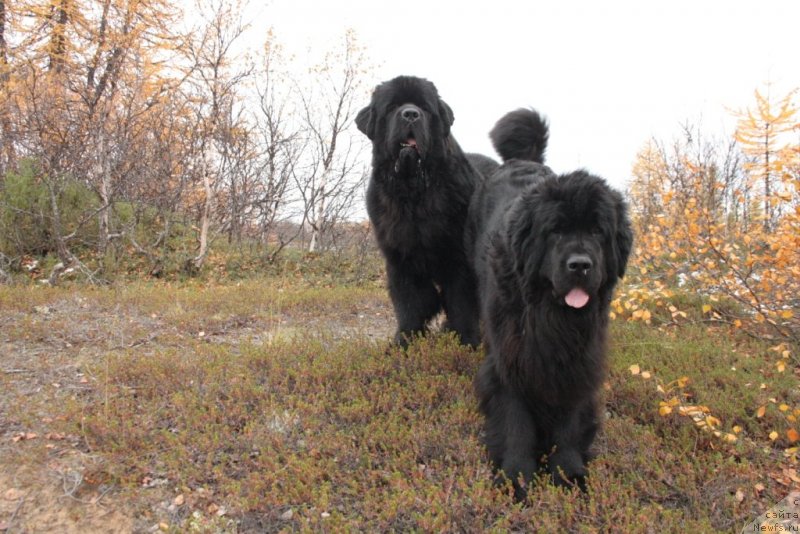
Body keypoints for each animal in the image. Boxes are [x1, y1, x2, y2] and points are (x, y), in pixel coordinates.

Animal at [356, 77, 482, 350]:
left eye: (424, 108)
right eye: (393, 107)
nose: (411, 114)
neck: (413, 194)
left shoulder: (459, 260)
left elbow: (461, 303)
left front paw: (466, 343)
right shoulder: (400, 258)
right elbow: (411, 303)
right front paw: (404, 342)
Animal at [468, 108, 632, 498]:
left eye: (597, 231)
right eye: (555, 231)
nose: (580, 265)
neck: (551, 317)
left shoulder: (579, 360)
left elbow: (570, 422)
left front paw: (568, 473)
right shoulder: (510, 356)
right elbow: (515, 420)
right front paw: (516, 476)